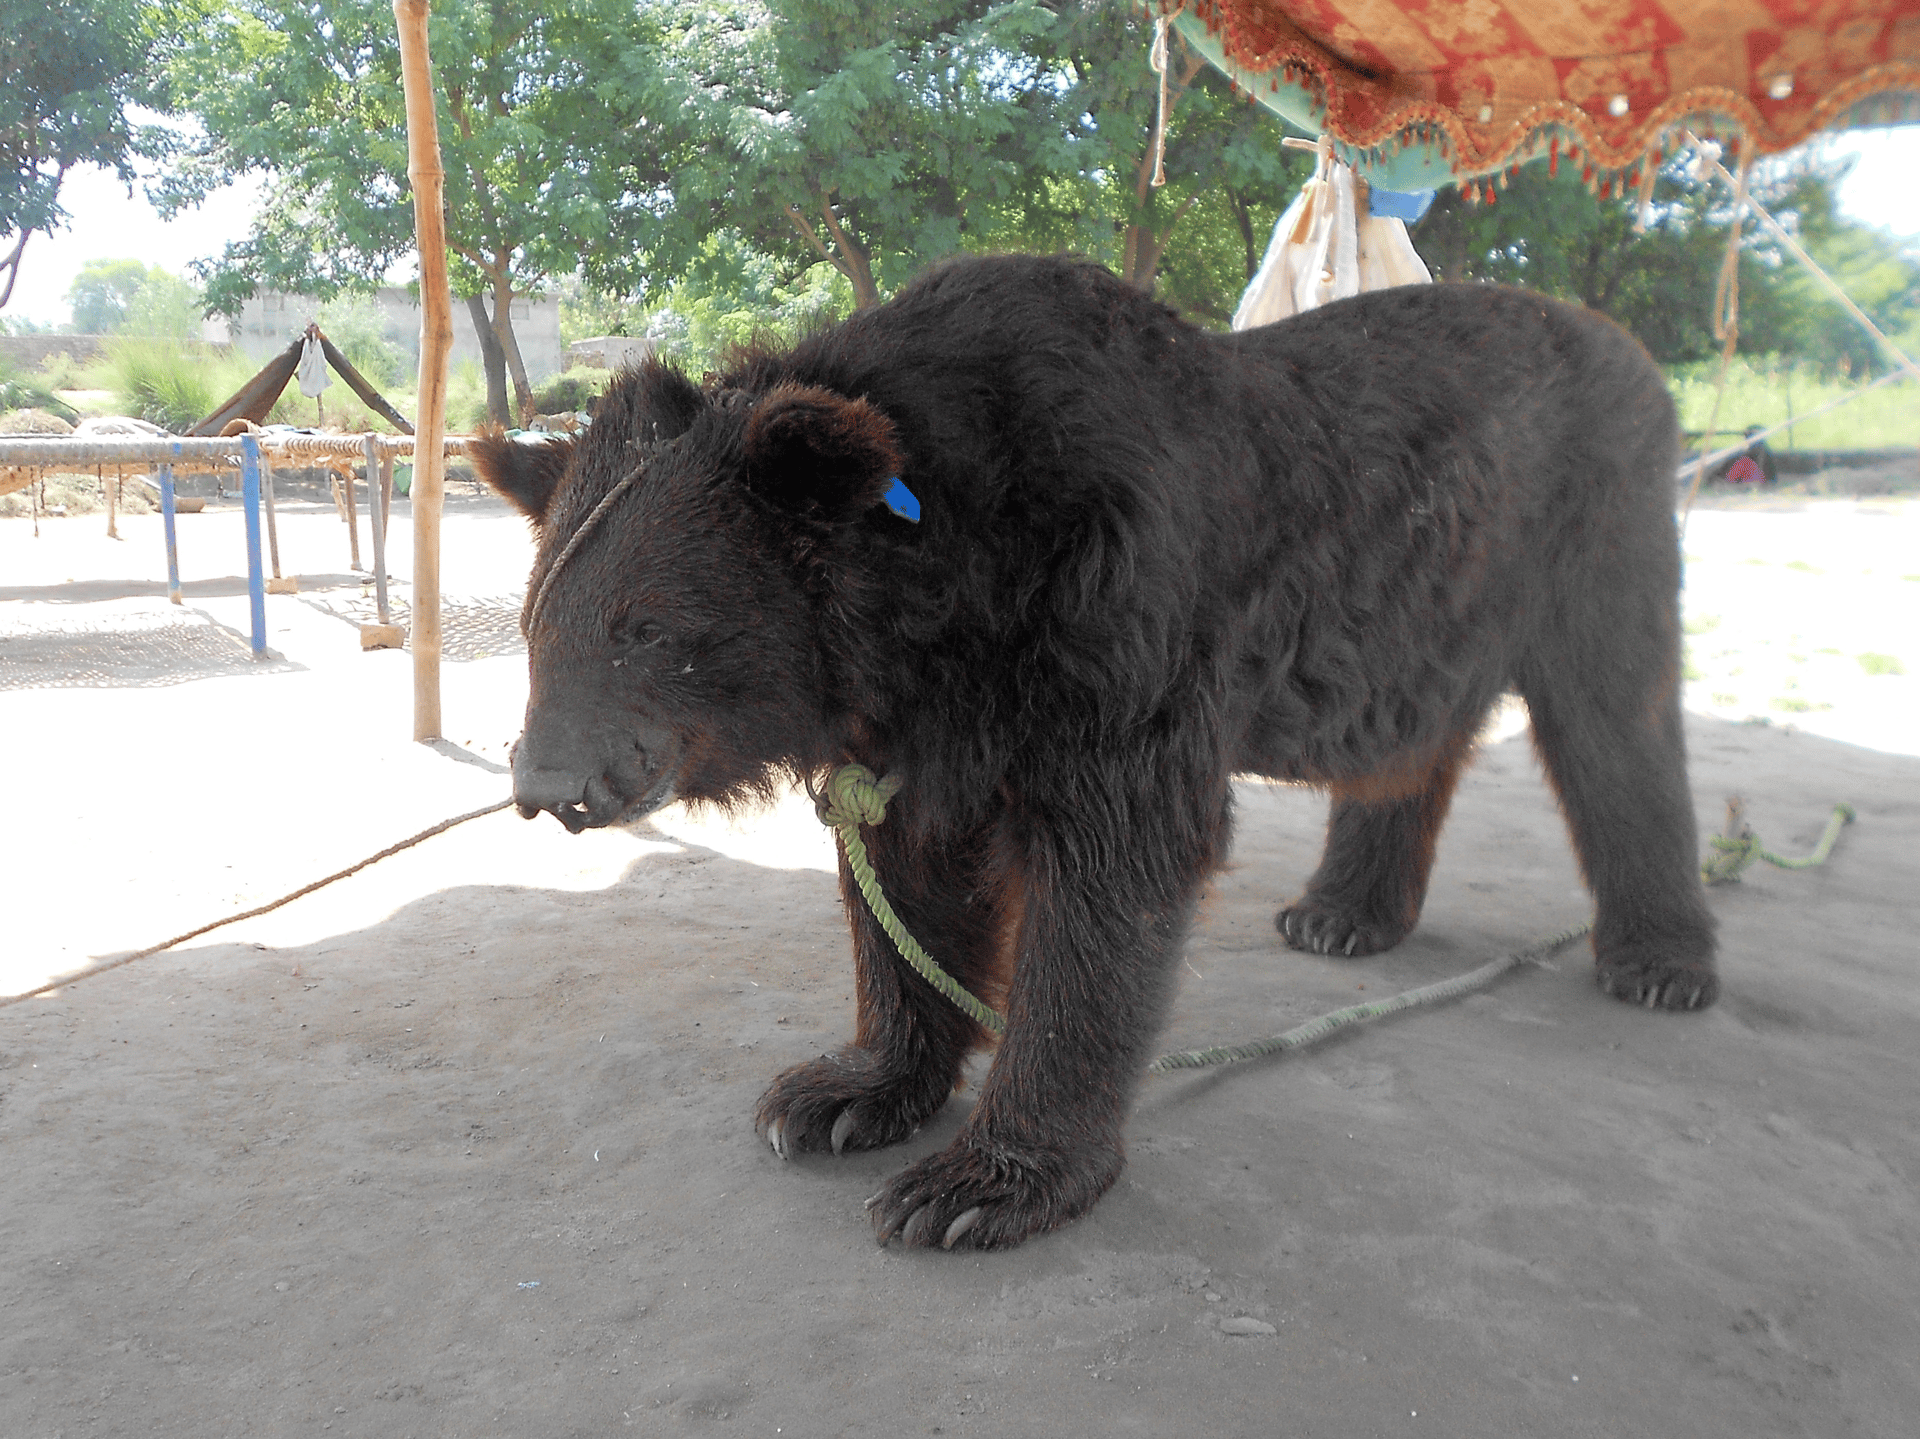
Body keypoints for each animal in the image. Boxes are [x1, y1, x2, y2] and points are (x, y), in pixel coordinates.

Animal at [472, 251, 1720, 1252]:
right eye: (534, 618)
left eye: (646, 628)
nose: (545, 783)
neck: (944, 599)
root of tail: (1637, 355)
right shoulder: (926, 718)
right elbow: (906, 870)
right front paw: (838, 1089)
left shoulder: (1117, 613)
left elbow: (1113, 869)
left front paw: (976, 1184)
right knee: (1413, 744)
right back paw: (1341, 910)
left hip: (1591, 529)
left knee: (1619, 721)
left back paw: (1660, 959)